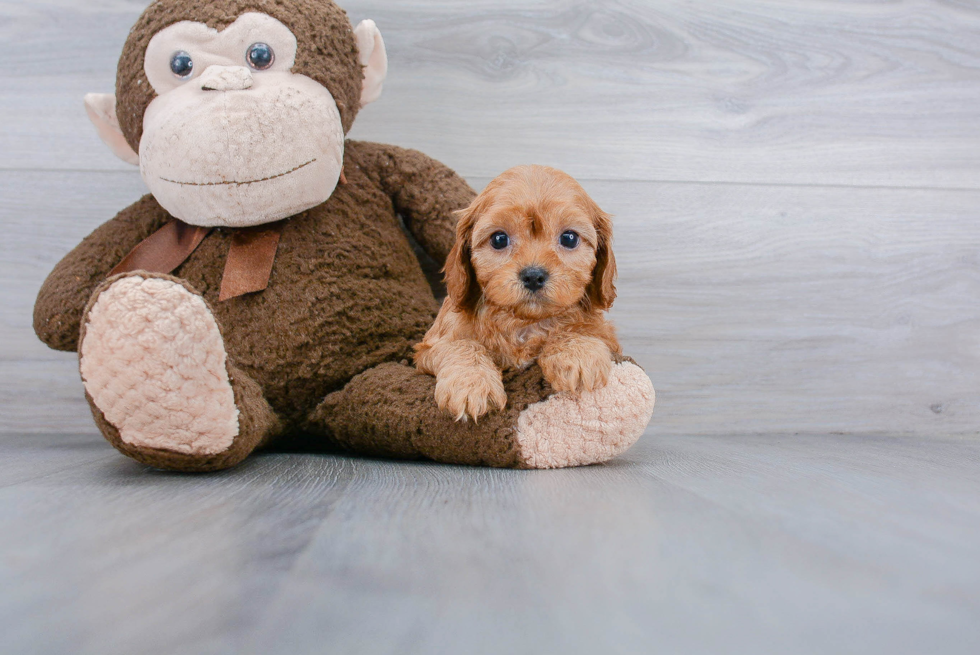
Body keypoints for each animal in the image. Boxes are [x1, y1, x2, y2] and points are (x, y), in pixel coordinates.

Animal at [414, 164, 620, 420]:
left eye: (569, 238)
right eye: (499, 239)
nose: (533, 276)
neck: (524, 323)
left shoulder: (607, 336)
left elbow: (579, 331)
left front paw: (578, 354)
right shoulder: (430, 345)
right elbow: (459, 345)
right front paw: (471, 383)